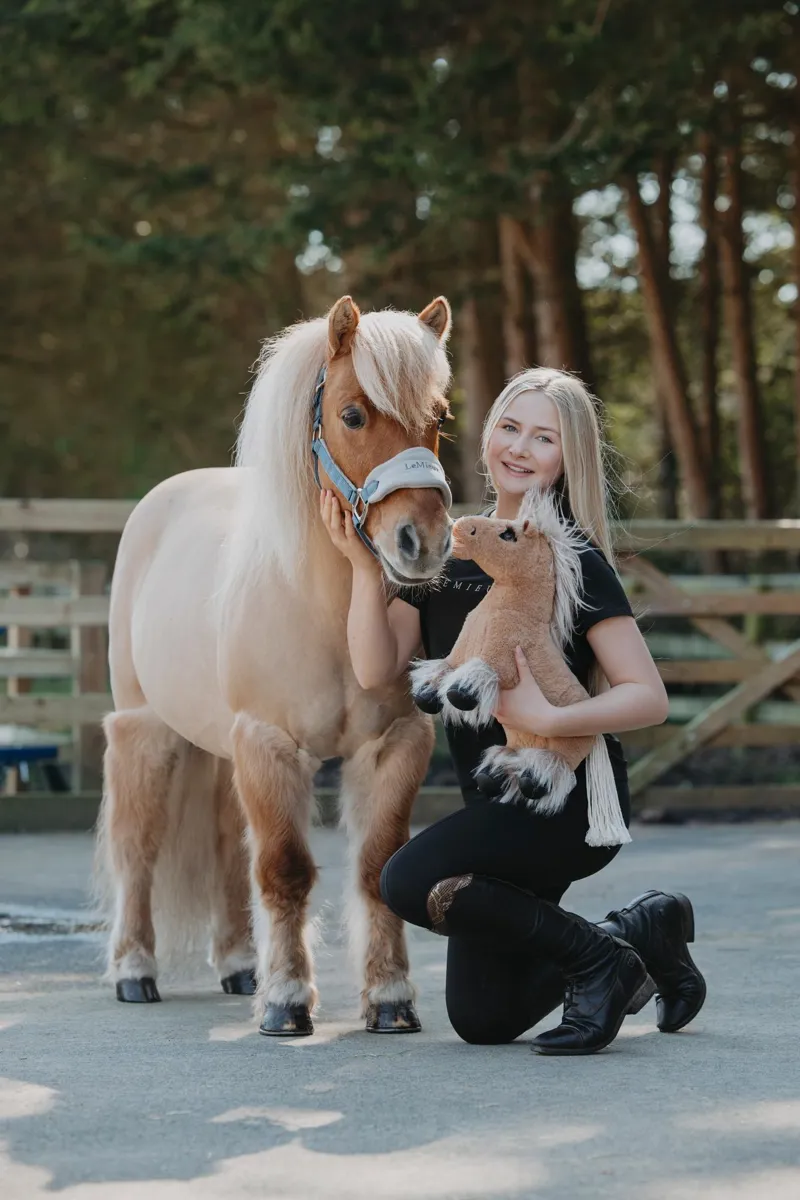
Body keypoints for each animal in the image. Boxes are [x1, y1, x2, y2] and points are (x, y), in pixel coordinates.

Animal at [97, 294, 454, 1036]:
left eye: (439, 416)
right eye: (352, 414)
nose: (425, 543)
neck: (325, 609)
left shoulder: (394, 742)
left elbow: (376, 865)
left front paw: (390, 998)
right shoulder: (269, 742)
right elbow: (286, 869)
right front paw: (288, 1002)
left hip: (220, 749)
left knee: (227, 848)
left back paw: (239, 966)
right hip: (147, 730)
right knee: (138, 846)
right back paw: (134, 971)